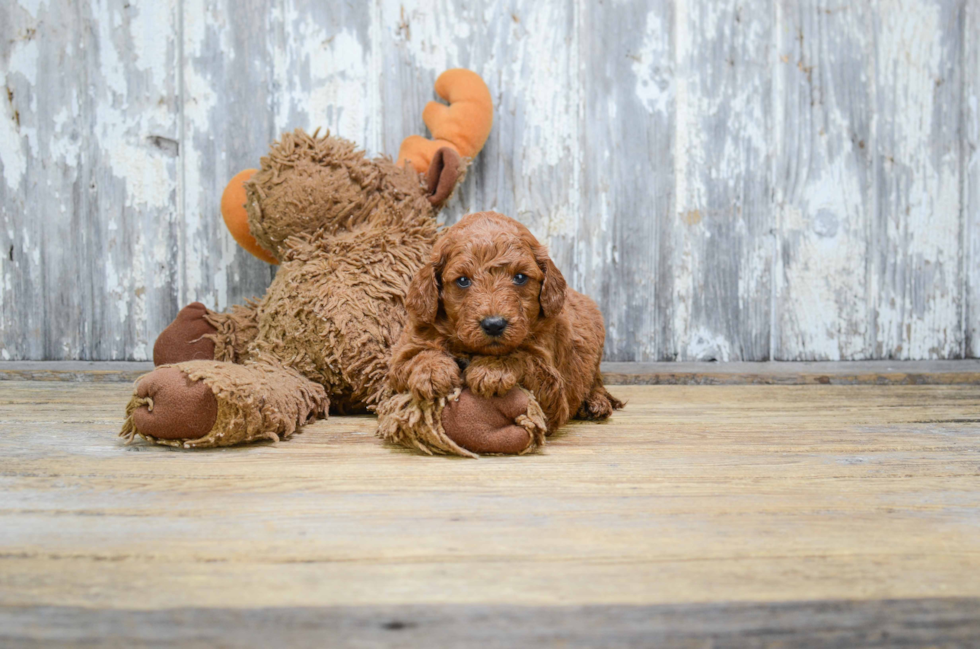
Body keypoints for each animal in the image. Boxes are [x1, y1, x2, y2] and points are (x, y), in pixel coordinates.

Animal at [388, 210, 620, 438]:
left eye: (520, 277)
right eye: (463, 280)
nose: (494, 324)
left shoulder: (554, 391)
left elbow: (522, 356)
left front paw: (492, 369)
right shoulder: (406, 350)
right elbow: (415, 357)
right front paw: (431, 372)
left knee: (595, 381)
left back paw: (596, 403)